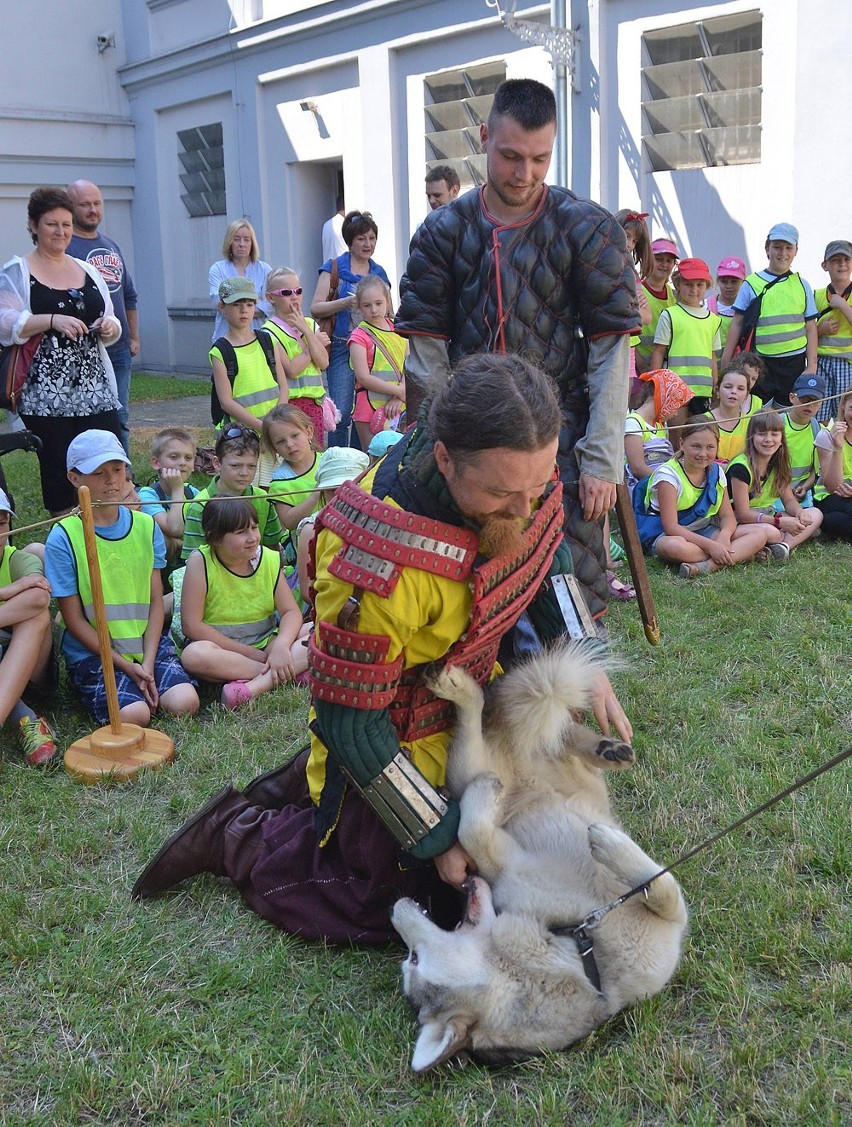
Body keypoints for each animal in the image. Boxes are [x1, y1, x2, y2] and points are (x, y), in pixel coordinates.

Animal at [392, 644, 694, 1072]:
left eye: (414, 959)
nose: (396, 908)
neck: (573, 946)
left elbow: (470, 831)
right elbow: (661, 884)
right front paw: (608, 844)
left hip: (565, 765)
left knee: (554, 725)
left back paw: (606, 748)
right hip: (471, 761)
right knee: (485, 715)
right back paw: (462, 693)